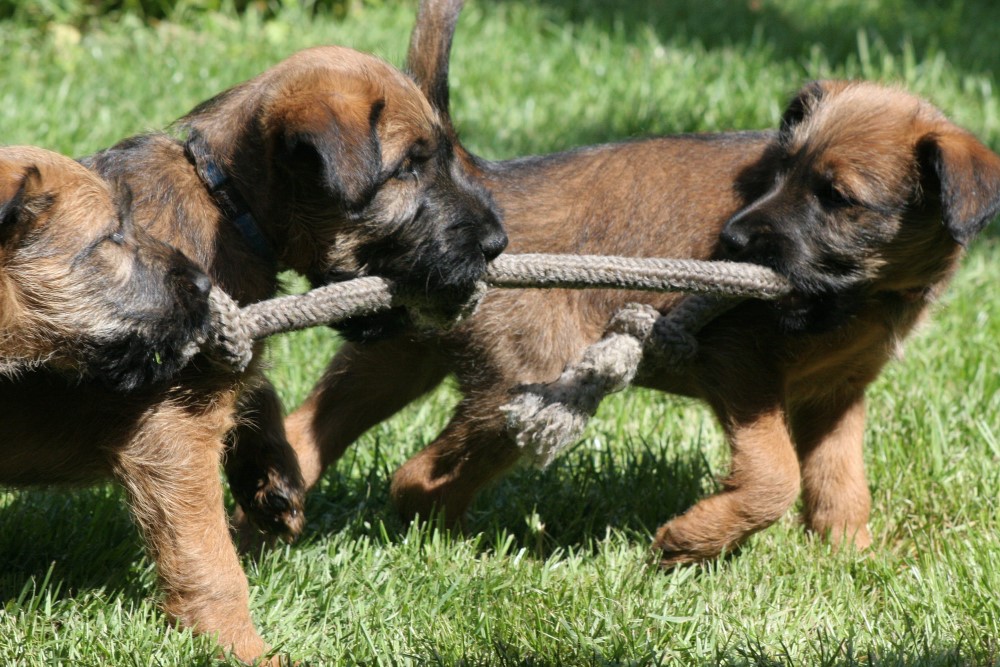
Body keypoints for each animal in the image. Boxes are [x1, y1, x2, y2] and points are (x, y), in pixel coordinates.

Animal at [282, 1, 1000, 568]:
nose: (735, 241)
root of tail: (476, 185)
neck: (866, 297)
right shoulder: (741, 363)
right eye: (781, 172)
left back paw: (281, 509)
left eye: (838, 199)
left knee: (311, 430)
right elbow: (775, 477)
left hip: (398, 354)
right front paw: (690, 540)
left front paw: (849, 561)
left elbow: (840, 484)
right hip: (526, 380)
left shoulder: (835, 396)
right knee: (416, 477)